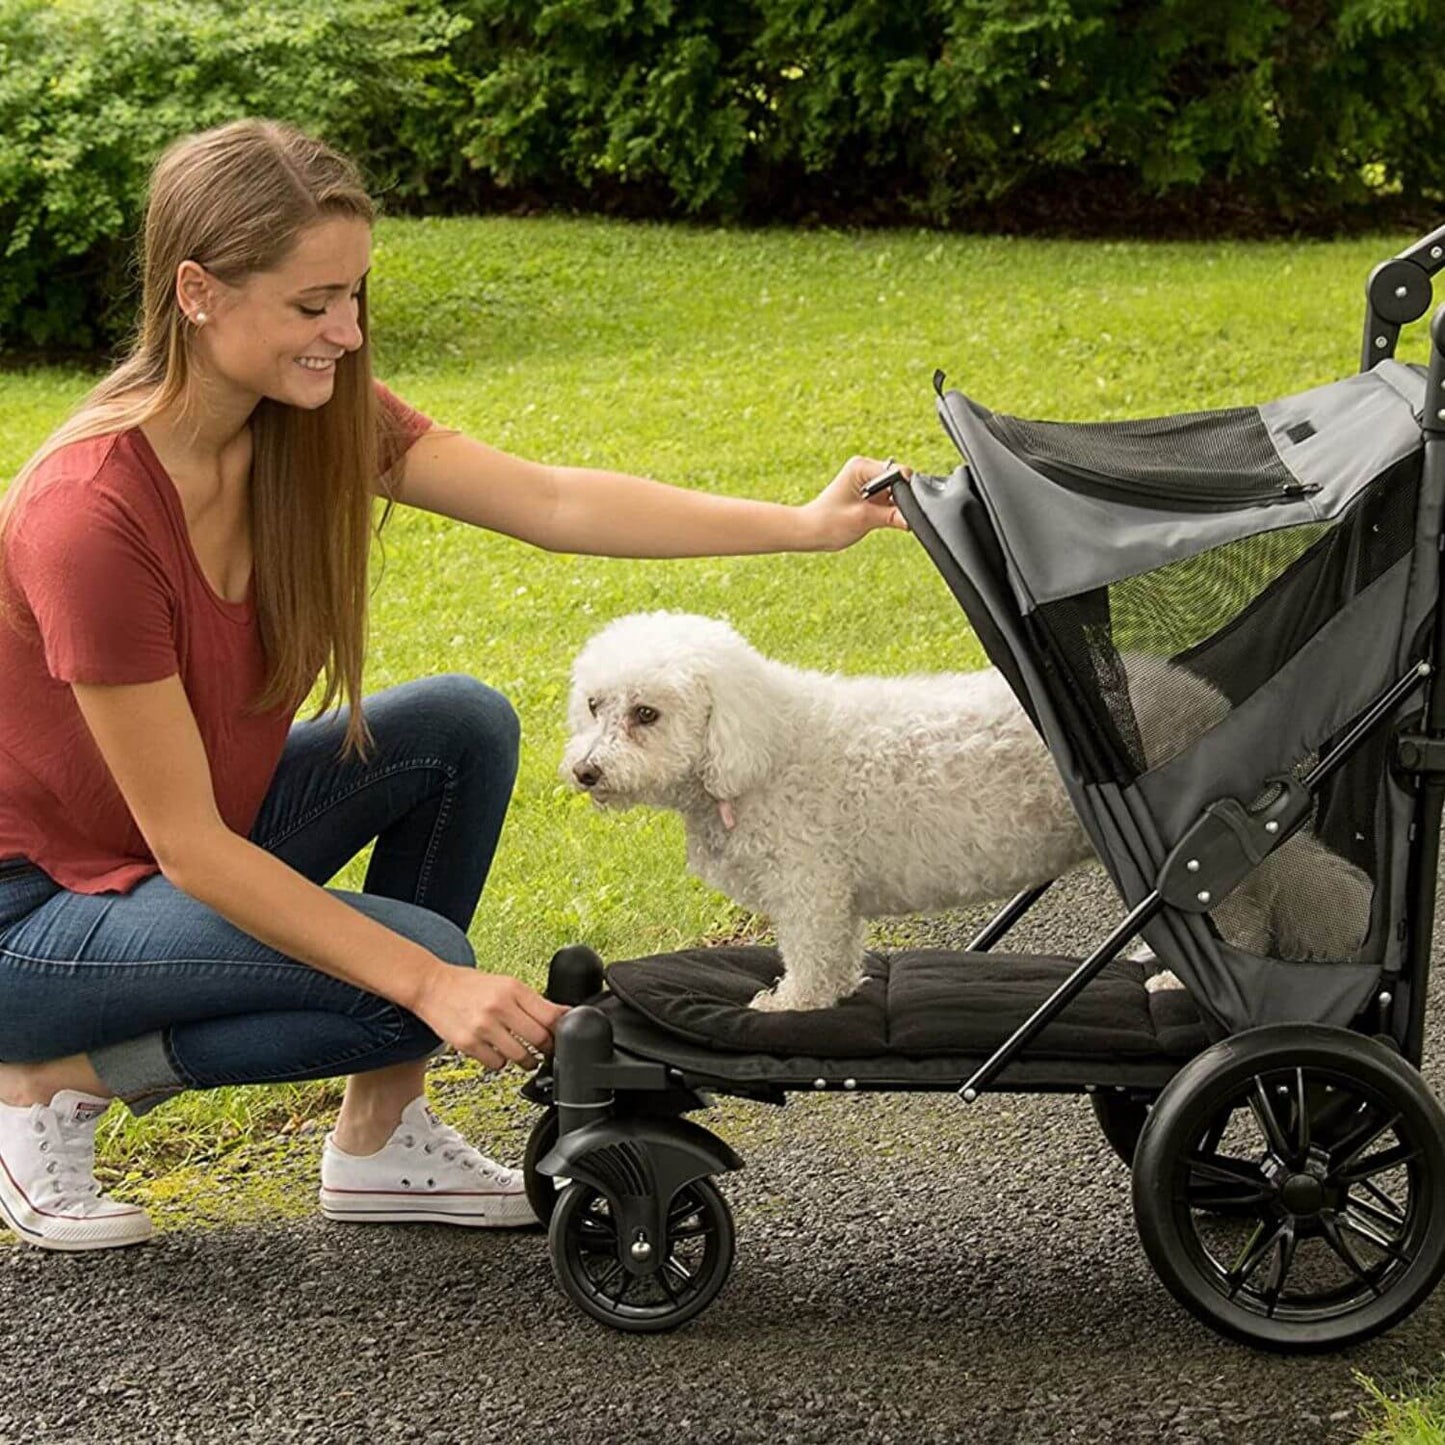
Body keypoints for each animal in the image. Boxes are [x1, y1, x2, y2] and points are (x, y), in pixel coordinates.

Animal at [557, 615, 1369, 1011]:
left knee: (1237, 919)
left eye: (647, 713)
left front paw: (792, 1004)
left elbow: (811, 954)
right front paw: (839, 991)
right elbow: (840, 951)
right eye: (593, 705)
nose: (584, 770)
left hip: (1186, 847)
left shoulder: (809, 885)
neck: (760, 745)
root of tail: (1209, 703)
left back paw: (1182, 983)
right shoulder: (831, 895)